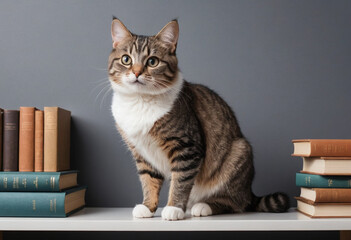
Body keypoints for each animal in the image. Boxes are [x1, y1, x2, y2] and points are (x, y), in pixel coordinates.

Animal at [108, 17, 290, 220]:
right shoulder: (142, 153)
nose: (137, 72)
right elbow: (149, 180)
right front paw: (147, 207)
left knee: (235, 203)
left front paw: (174, 208)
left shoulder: (187, 147)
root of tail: (250, 191)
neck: (140, 101)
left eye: (152, 61)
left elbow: (180, 181)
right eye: (126, 59)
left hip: (239, 152)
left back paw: (203, 206)